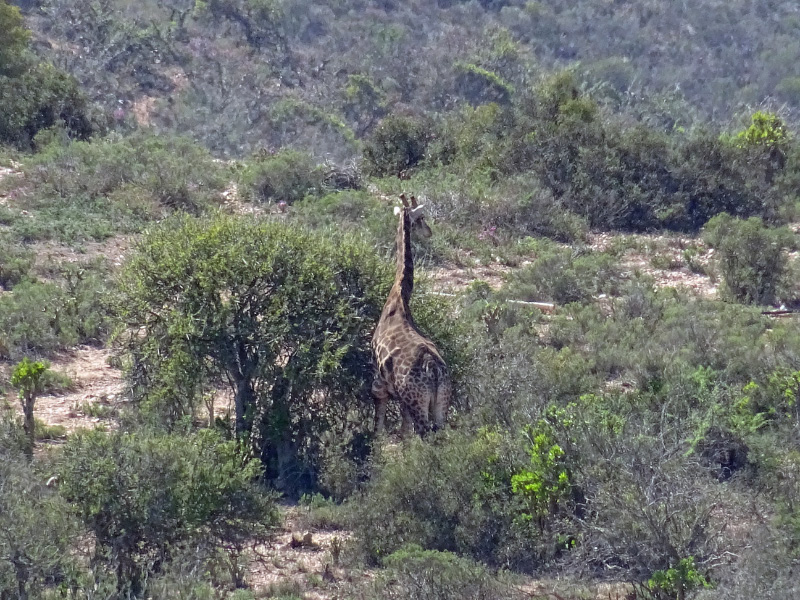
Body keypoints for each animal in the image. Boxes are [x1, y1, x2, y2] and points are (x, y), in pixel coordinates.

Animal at [371, 194, 452, 436]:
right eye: (422, 219)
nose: (429, 232)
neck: (399, 298)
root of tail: (434, 371)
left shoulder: (379, 384)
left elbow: (378, 429)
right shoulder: (401, 399)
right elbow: (404, 433)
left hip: (417, 401)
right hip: (440, 404)